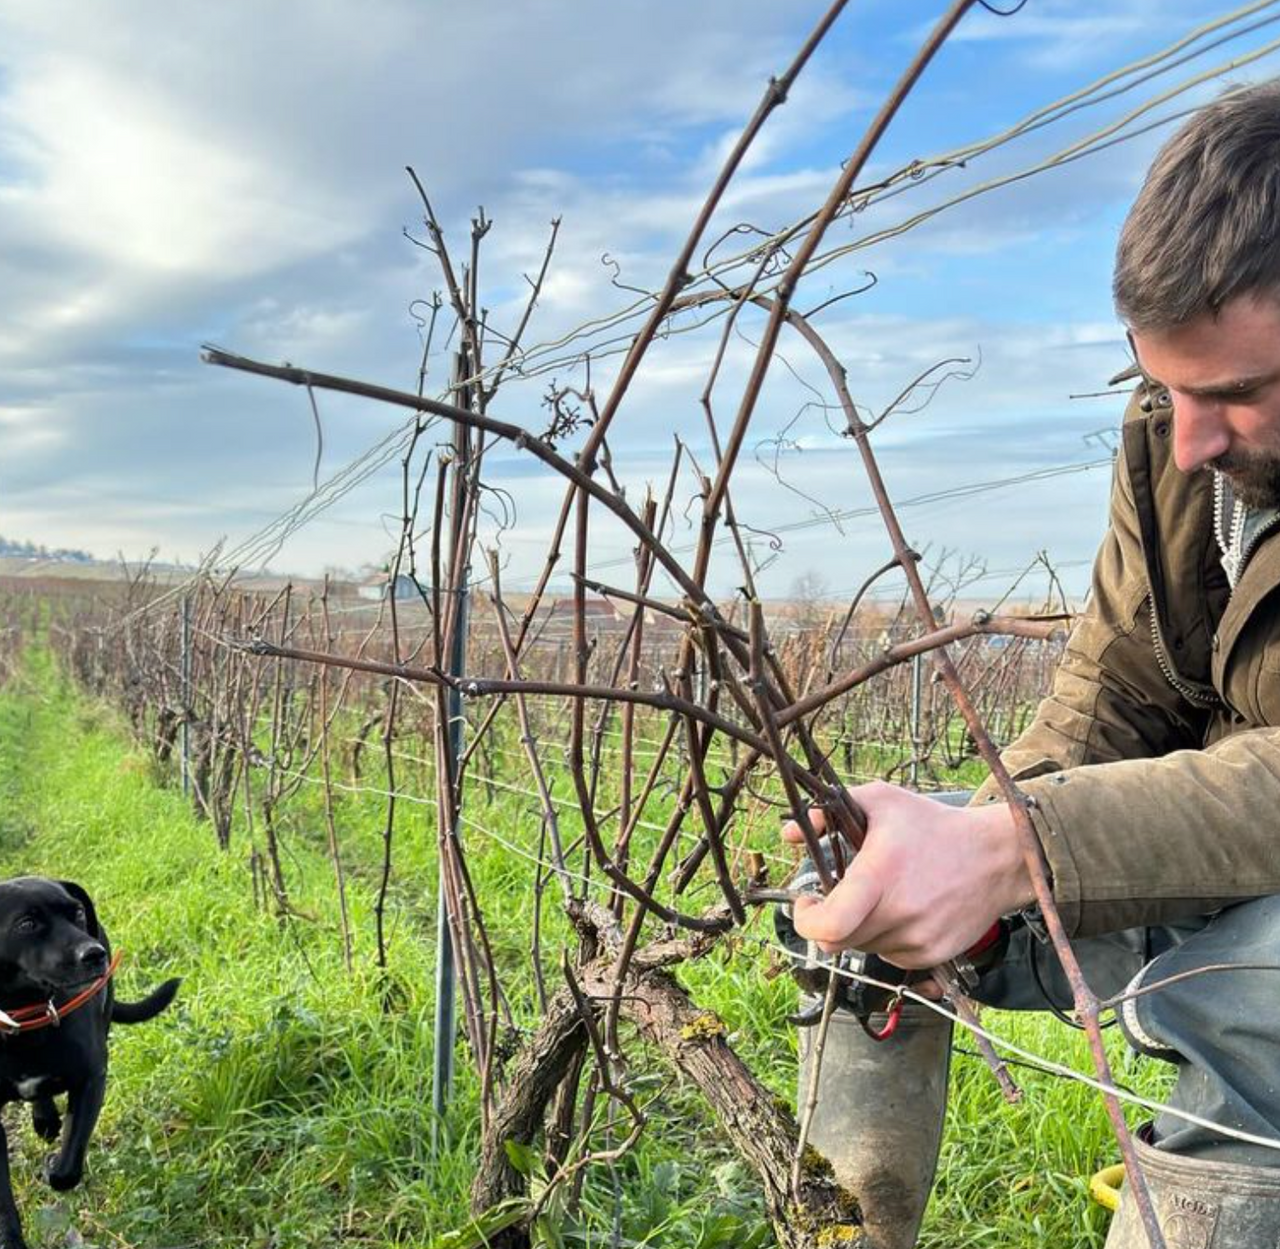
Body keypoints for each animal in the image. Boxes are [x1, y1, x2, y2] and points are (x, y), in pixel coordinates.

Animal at [0, 880, 179, 1249]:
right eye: (27, 924)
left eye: (78, 912)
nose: (94, 954)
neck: (24, 1019)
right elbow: (2, 1204)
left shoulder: (91, 1079)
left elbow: (68, 1166)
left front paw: (52, 1168)